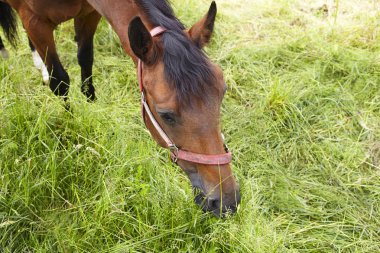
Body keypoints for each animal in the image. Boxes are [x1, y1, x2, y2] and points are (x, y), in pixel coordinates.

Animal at [0, 0, 240, 217]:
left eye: (221, 94)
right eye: (166, 116)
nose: (226, 202)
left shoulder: (88, 14)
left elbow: (85, 61)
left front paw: (93, 114)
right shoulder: (35, 21)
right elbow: (60, 81)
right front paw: (71, 126)